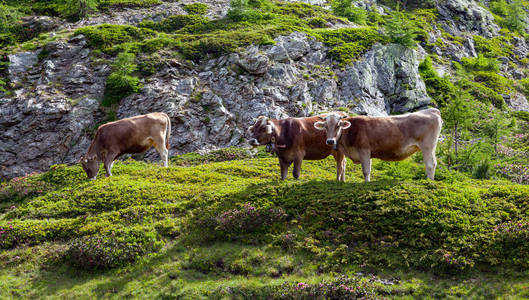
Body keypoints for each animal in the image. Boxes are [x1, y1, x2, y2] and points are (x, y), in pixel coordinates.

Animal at [314, 109, 442, 182]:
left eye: (338, 125)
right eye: (325, 126)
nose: (330, 141)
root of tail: (431, 110)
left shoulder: (364, 150)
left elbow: (366, 171)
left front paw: (367, 183)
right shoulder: (368, 153)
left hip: (427, 146)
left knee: (430, 164)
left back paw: (429, 182)